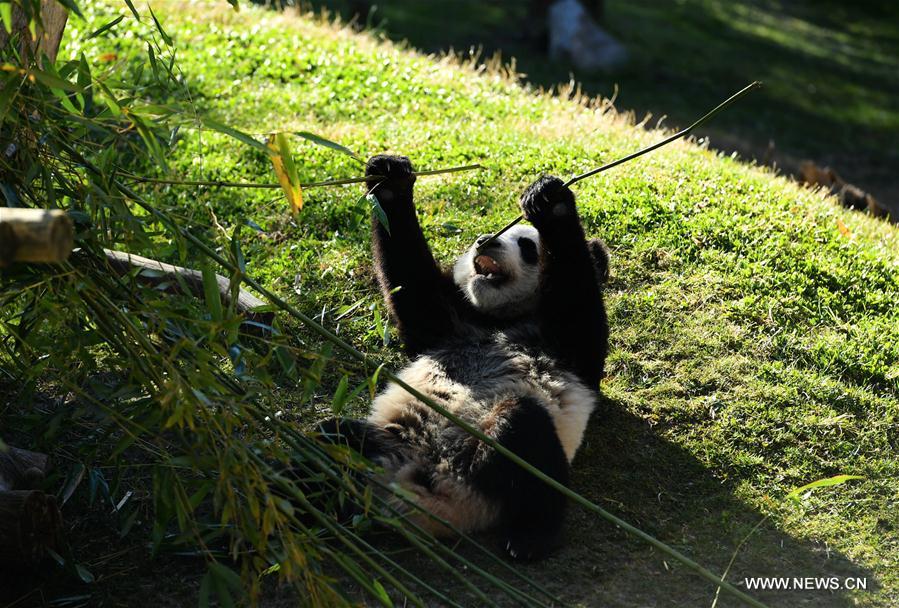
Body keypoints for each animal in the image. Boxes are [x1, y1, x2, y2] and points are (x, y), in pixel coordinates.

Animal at [318, 154, 608, 560]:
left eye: (527, 245)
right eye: (485, 235)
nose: (484, 242)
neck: (500, 320)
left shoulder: (566, 348)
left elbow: (578, 307)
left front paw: (550, 202)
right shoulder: (451, 326)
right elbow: (413, 286)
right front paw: (389, 178)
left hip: (484, 469)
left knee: (523, 430)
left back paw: (530, 539)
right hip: (387, 442)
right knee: (333, 435)